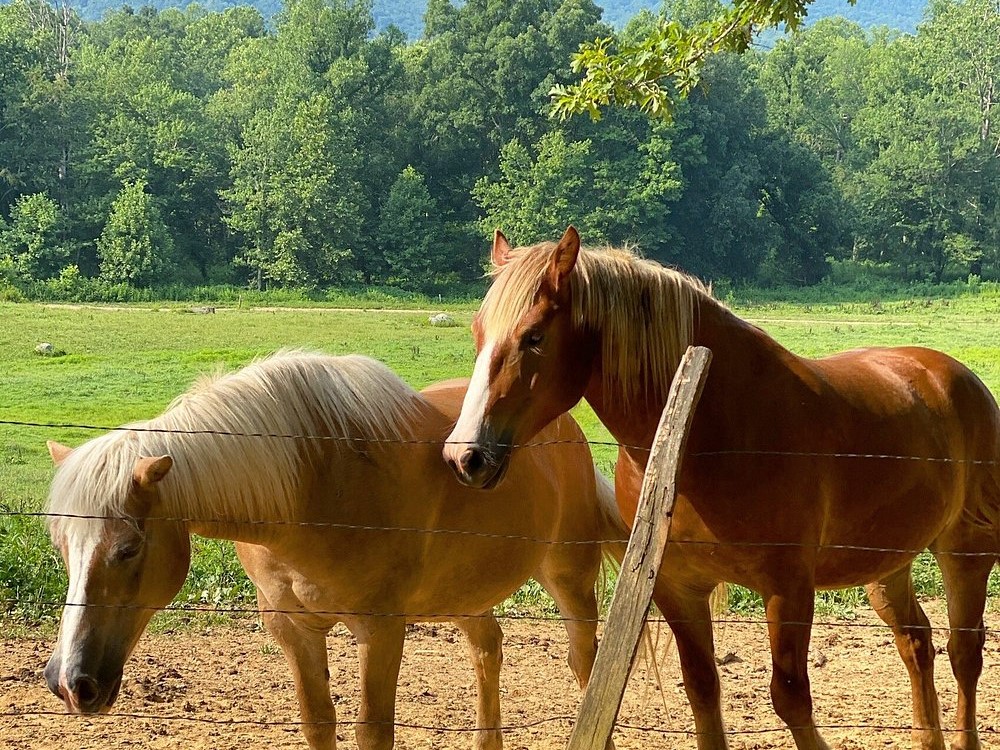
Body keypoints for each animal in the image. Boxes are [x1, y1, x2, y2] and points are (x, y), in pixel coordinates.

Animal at [47, 352, 628, 750]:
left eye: (128, 548)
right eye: (61, 546)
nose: (69, 683)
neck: (314, 480)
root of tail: (565, 429)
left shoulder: (381, 630)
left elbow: (372, 731)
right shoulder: (292, 629)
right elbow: (318, 723)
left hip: (569, 576)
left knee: (586, 663)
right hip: (464, 595)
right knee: (489, 648)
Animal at [446, 228, 1000, 750]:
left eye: (535, 336)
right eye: (477, 332)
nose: (465, 456)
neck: (704, 429)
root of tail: (953, 375)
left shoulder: (787, 588)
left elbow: (791, 698)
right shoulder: (678, 589)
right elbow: (702, 690)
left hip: (966, 552)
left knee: (964, 651)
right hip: (887, 565)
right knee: (917, 642)